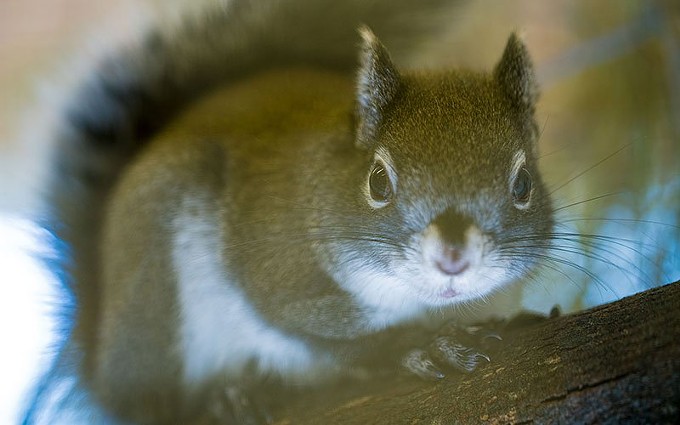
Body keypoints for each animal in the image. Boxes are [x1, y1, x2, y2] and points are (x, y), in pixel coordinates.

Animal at [23, 0, 556, 420]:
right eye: (378, 181)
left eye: (523, 184)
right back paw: (223, 399)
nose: (452, 257)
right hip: (156, 289)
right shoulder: (277, 269)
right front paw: (416, 345)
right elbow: (322, 333)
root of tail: (101, 357)